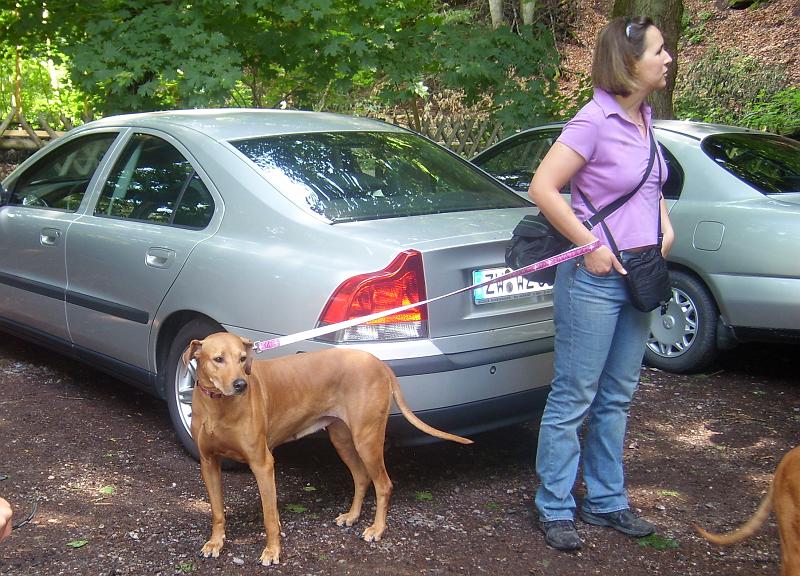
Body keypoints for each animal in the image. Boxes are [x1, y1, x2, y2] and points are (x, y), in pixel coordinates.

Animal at [184, 332, 472, 568]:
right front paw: (215, 543)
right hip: (342, 439)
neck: (217, 406)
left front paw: (272, 551)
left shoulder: (262, 463)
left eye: (243, 358)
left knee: (384, 484)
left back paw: (377, 529)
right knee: (361, 477)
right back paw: (352, 516)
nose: (241, 385)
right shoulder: (208, 463)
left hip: (367, 439)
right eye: (218, 359)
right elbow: (217, 510)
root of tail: (379, 363)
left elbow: (269, 516)